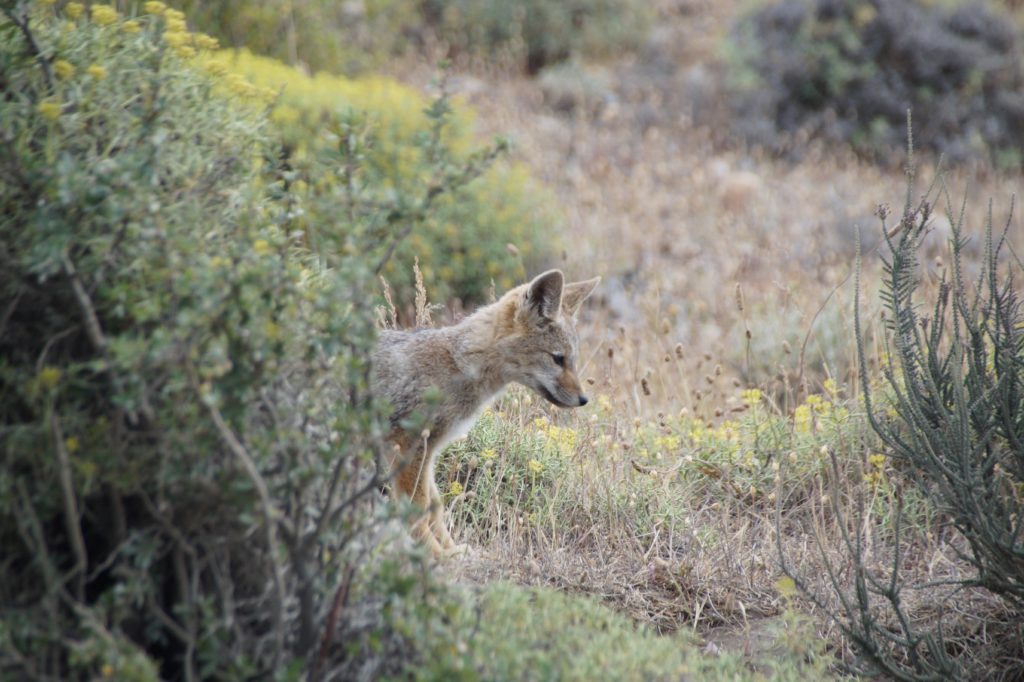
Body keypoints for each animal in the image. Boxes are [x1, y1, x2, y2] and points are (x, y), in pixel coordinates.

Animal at [374, 268, 598, 557]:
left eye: (573, 359)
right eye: (558, 358)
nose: (584, 400)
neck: (456, 365)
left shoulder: (430, 451)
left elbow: (435, 507)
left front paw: (453, 550)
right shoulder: (408, 444)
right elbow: (418, 509)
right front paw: (436, 555)